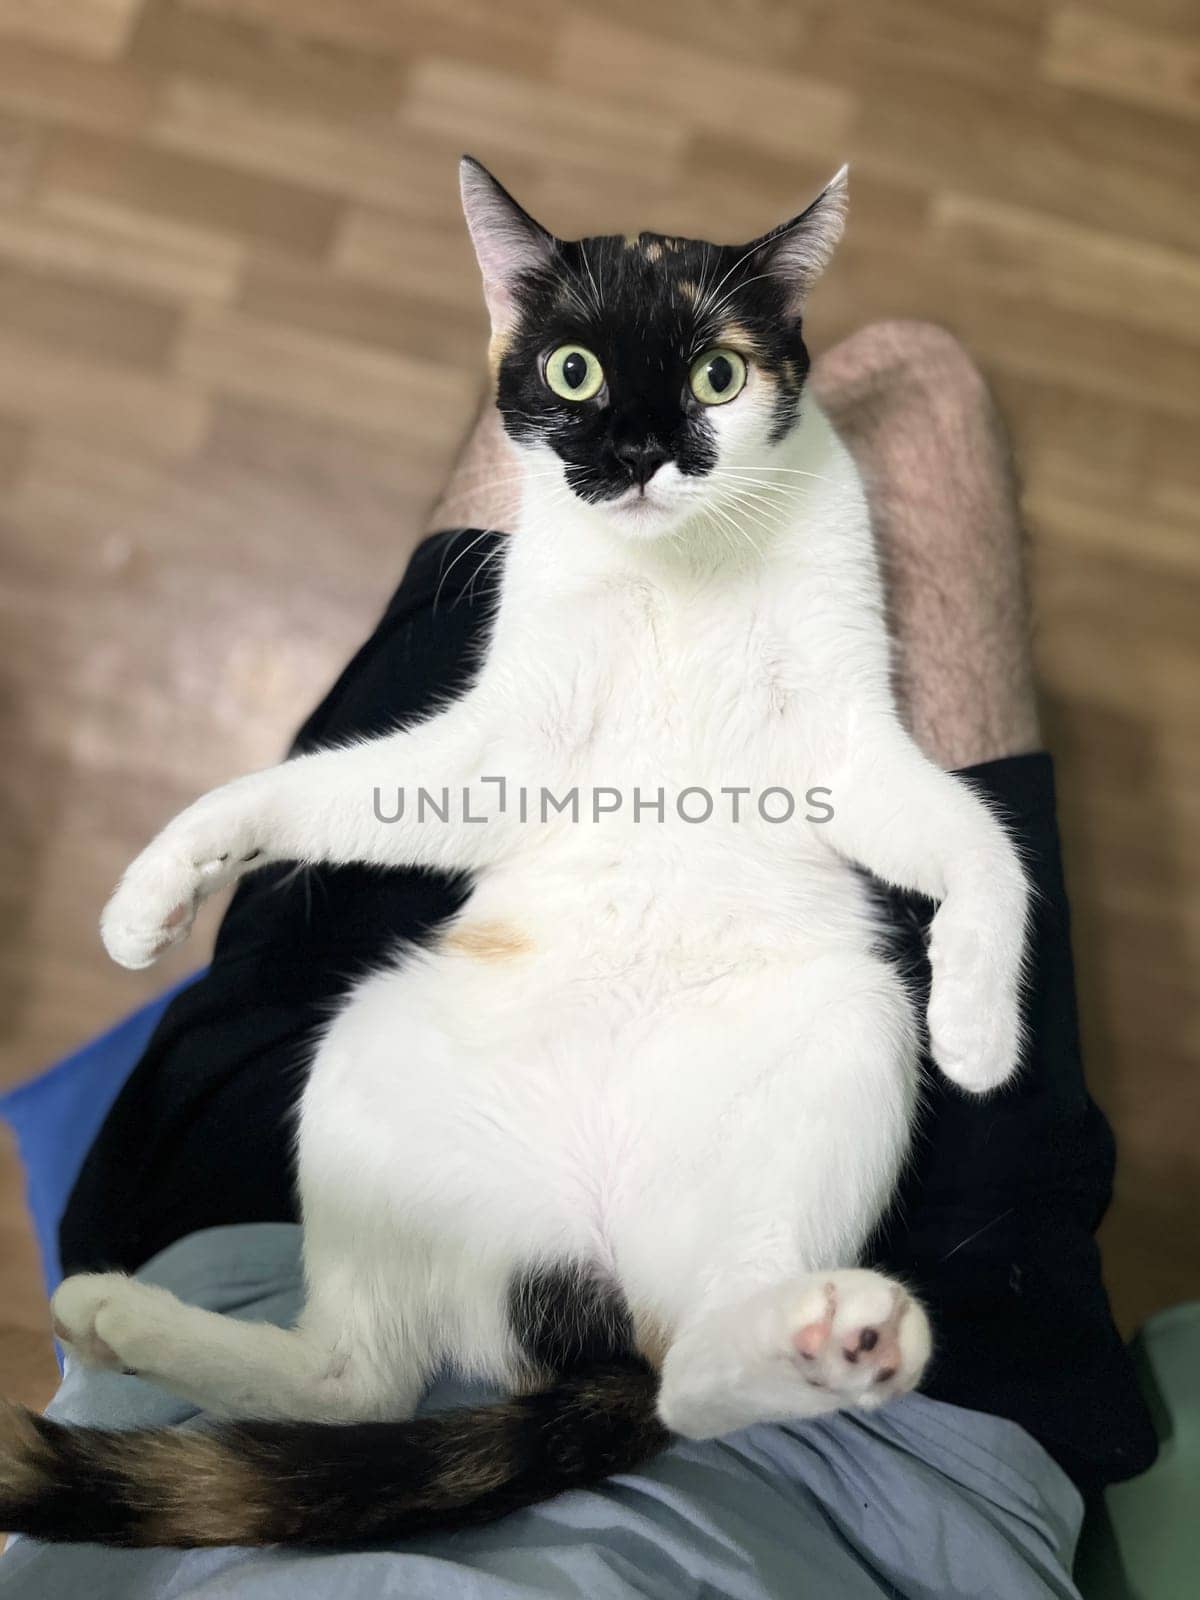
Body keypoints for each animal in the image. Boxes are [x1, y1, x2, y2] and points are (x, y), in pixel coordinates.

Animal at [4, 162, 1030, 1548]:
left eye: (717, 375)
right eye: (577, 372)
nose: (640, 456)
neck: (676, 573)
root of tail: (592, 1277)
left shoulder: (844, 740)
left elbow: (985, 844)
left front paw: (979, 1031)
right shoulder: (507, 745)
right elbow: (324, 789)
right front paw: (156, 886)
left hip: (851, 1034)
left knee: (687, 1377)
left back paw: (828, 1334)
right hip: (368, 1056)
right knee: (360, 1379)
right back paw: (121, 1315)